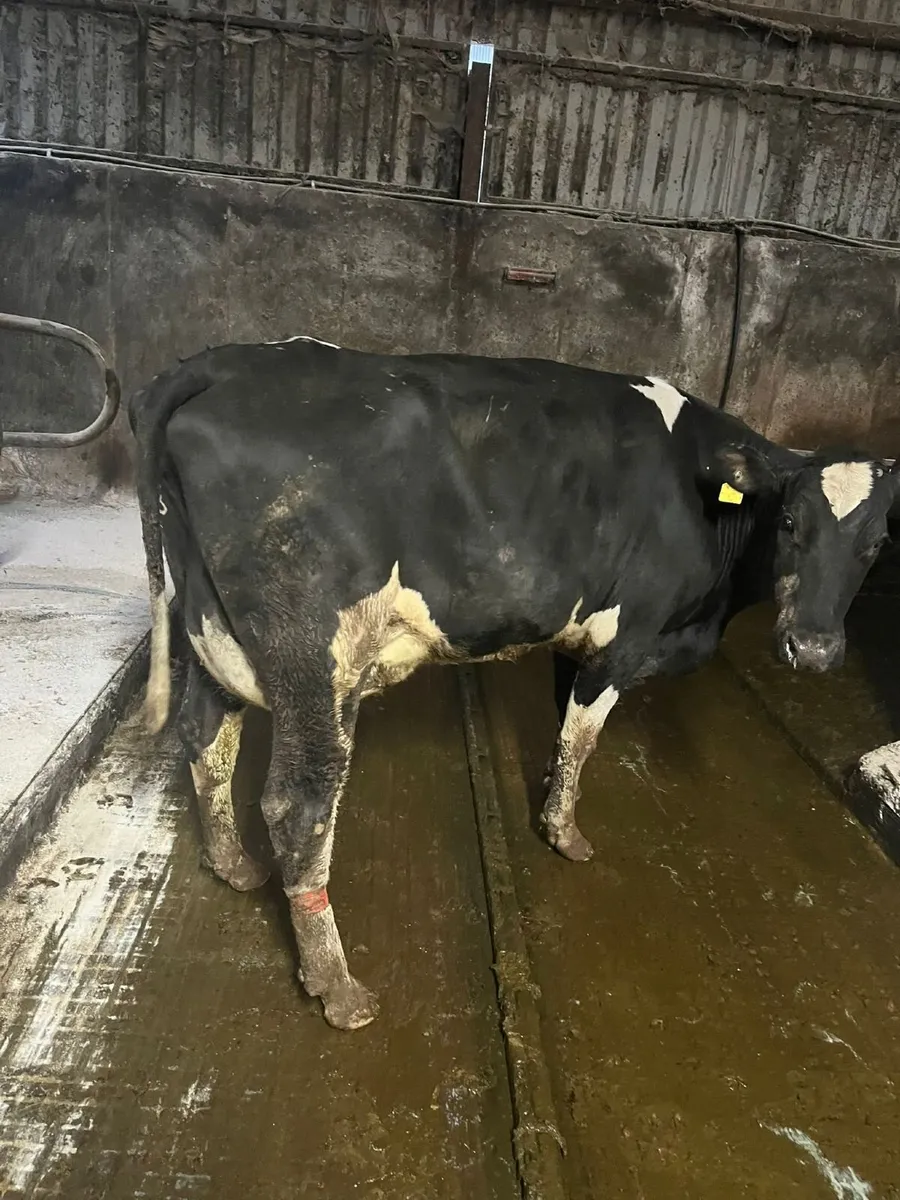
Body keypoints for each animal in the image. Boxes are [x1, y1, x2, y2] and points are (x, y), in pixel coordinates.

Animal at [128, 337, 898, 1031]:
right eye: (791, 522)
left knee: (206, 737)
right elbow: (585, 737)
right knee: (300, 805)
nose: (815, 648)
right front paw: (565, 833)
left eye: (877, 543)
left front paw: (552, 798)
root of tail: (221, 362)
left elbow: (564, 727)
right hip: (315, 660)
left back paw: (232, 865)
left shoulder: (580, 638)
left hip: (211, 632)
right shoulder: (628, 638)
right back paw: (338, 987)